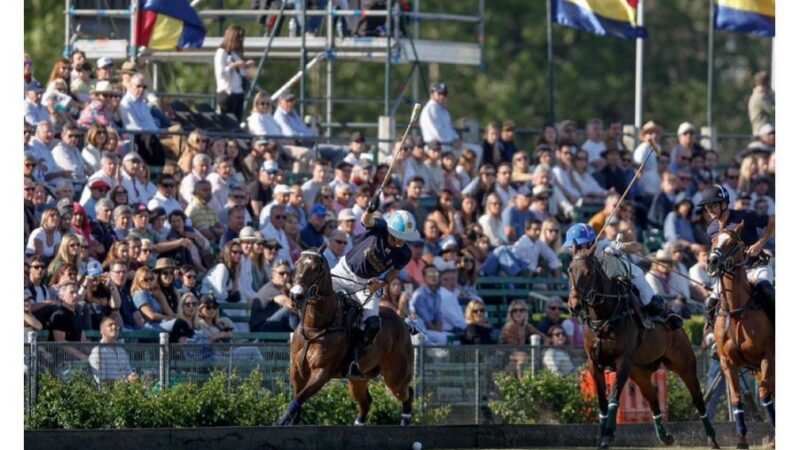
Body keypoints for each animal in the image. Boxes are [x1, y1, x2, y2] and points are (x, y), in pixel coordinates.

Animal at [276, 251, 416, 428]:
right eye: (296, 265)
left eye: (316, 269)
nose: (296, 295)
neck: (316, 326)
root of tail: (403, 323)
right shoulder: (296, 368)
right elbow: (297, 395)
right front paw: (291, 419)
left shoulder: (322, 371)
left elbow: (300, 397)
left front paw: (282, 420)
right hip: (358, 378)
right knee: (366, 401)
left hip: (396, 374)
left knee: (407, 392)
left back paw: (405, 420)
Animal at [564, 248, 720, 448]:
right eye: (570, 270)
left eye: (589, 272)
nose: (574, 305)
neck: (605, 319)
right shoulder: (594, 363)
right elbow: (602, 402)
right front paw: (601, 436)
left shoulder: (623, 361)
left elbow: (614, 397)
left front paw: (608, 435)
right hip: (639, 372)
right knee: (652, 398)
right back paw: (665, 436)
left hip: (685, 366)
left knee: (698, 400)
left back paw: (712, 439)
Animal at [712, 227, 776, 448]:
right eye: (712, 240)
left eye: (732, 243)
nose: (712, 261)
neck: (736, 311)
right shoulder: (727, 362)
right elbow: (737, 399)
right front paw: (741, 439)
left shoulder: (768, 356)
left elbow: (765, 395)